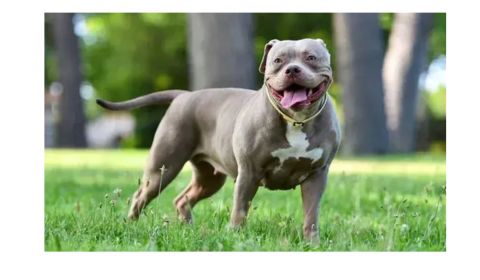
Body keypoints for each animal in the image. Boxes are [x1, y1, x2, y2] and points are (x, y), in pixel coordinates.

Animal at [95, 38, 340, 242]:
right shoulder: (248, 173)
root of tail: (184, 95)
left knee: (182, 199)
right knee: (140, 196)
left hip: (208, 179)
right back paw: (130, 225)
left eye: (311, 58)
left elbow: (311, 214)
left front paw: (312, 243)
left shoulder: (317, 175)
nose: (292, 69)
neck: (296, 120)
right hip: (163, 167)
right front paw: (235, 236)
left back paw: (188, 228)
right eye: (278, 61)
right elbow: (240, 209)